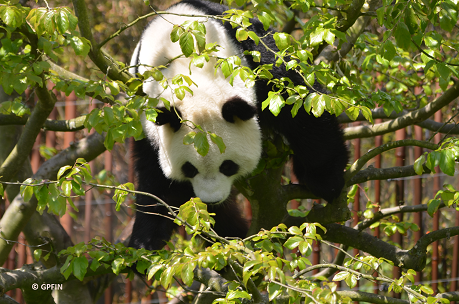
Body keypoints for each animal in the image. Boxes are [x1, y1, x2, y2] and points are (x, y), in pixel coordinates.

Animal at [128, 0, 348, 252]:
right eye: (189, 169)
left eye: (228, 166)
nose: (212, 199)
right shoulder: (147, 112)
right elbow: (156, 181)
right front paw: (144, 241)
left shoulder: (252, 60)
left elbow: (301, 107)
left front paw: (326, 181)